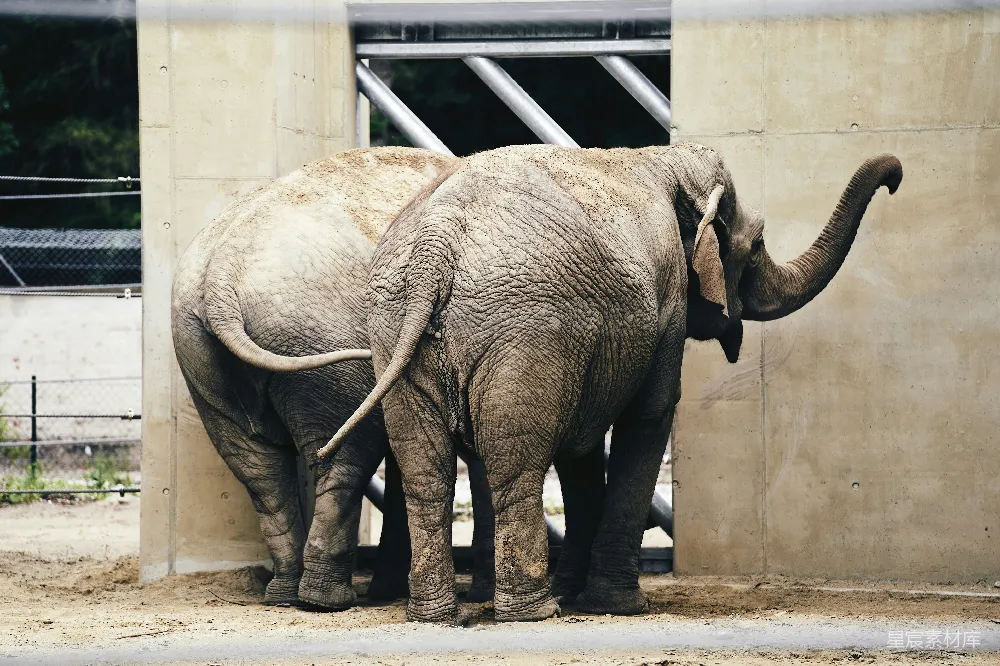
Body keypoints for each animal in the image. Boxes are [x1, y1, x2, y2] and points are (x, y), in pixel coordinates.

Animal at [170, 146, 501, 609]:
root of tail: (221, 273)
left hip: (200, 352)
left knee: (256, 467)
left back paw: (286, 594)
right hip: (318, 339)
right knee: (344, 454)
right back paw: (327, 599)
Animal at [309, 141, 902, 623]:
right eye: (755, 246)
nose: (895, 177)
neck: (663, 160)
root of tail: (436, 250)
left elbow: (582, 443)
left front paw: (576, 593)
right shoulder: (666, 306)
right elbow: (650, 415)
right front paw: (619, 606)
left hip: (397, 331)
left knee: (426, 471)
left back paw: (435, 615)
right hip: (524, 334)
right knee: (514, 465)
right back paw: (532, 612)